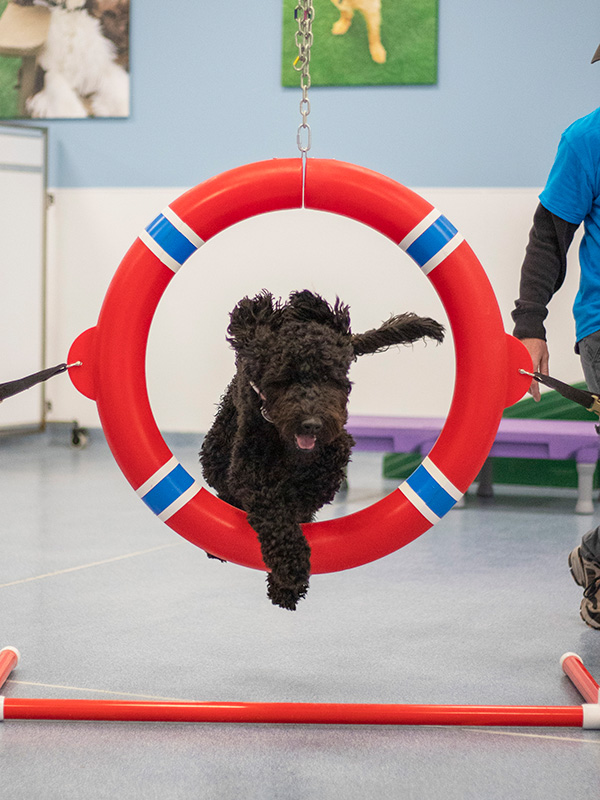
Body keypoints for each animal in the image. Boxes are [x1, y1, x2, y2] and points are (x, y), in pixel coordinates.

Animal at [199, 290, 442, 608]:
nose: (311, 424)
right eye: (285, 378)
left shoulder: (334, 454)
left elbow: (306, 495)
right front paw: (290, 567)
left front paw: (285, 585)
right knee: (221, 479)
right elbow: (273, 511)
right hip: (217, 448)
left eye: (328, 376)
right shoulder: (251, 468)